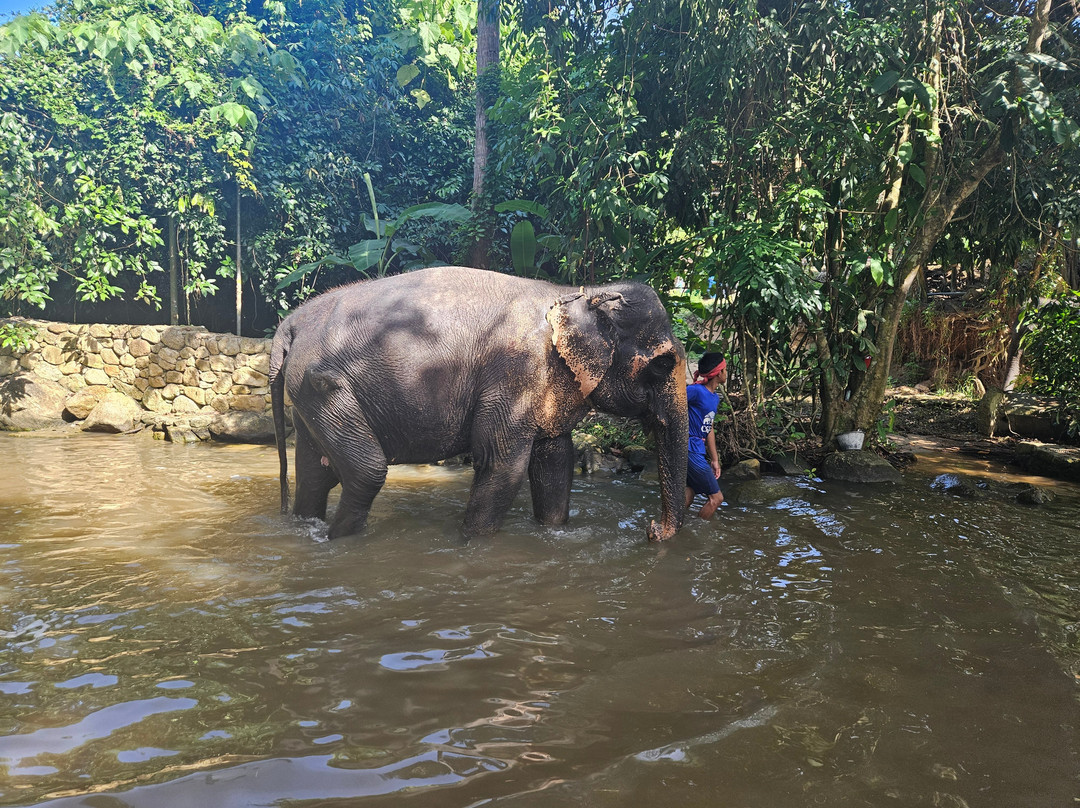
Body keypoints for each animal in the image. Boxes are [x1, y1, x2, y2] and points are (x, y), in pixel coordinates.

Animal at [269, 265, 689, 541]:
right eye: (663, 364)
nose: (652, 530)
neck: (578, 292)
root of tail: (292, 322)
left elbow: (555, 462)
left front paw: (552, 532)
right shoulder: (516, 371)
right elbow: (502, 464)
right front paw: (472, 542)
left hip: (306, 398)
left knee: (316, 473)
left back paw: (307, 527)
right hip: (324, 387)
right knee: (365, 471)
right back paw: (335, 540)